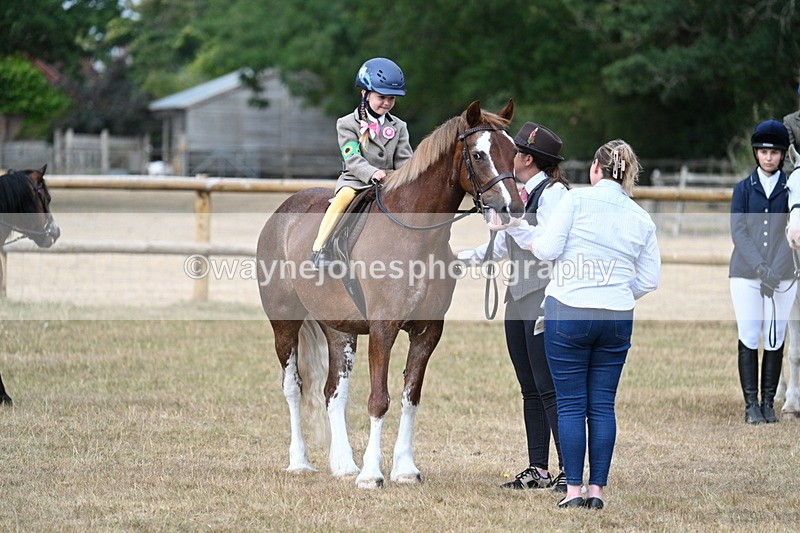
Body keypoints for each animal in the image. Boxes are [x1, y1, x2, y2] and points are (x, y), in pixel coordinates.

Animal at [257, 100, 521, 488]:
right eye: (478, 154)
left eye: (514, 153)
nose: (511, 208)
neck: (417, 235)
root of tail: (283, 211)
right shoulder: (383, 328)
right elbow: (379, 399)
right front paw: (371, 474)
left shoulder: (428, 331)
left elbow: (411, 397)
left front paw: (405, 469)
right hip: (284, 325)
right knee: (293, 387)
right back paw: (301, 461)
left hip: (339, 329)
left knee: (333, 392)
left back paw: (344, 465)